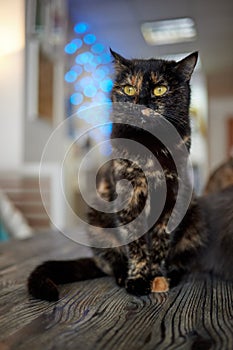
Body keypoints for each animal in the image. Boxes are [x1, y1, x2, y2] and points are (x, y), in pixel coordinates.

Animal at [27, 48, 233, 300]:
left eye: (159, 89)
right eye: (129, 89)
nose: (141, 102)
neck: (150, 146)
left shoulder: (173, 198)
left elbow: (160, 243)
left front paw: (156, 276)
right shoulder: (128, 199)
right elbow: (136, 245)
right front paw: (137, 279)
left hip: (196, 217)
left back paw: (171, 275)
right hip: (96, 220)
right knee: (111, 261)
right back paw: (122, 276)